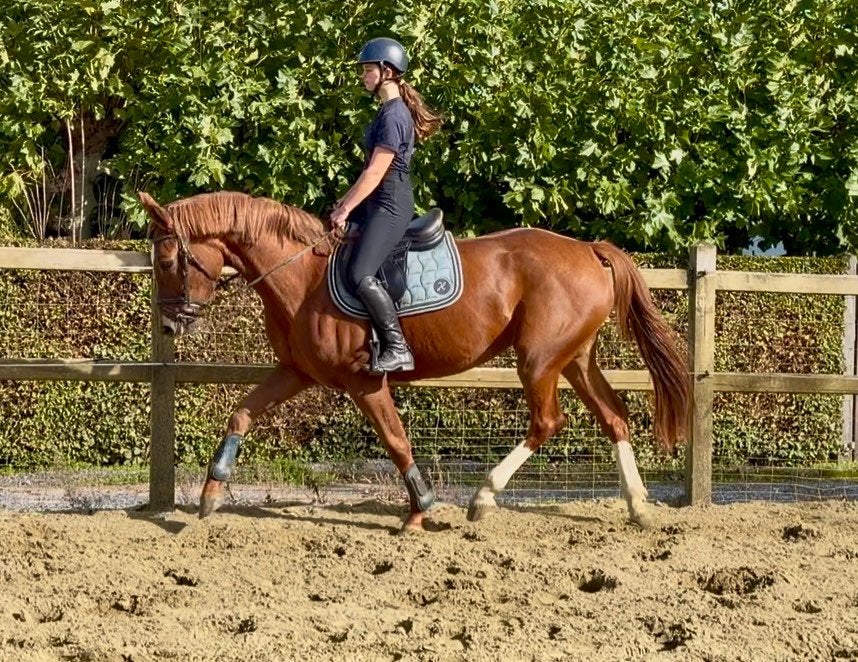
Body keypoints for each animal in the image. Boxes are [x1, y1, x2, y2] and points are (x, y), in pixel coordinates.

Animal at [138, 190, 689, 531]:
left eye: (165, 262)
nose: (169, 326)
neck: (303, 277)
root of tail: (588, 250)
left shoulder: (364, 382)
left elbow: (397, 441)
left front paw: (420, 510)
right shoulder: (296, 372)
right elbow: (242, 412)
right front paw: (211, 492)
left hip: (538, 360)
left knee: (548, 422)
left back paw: (483, 497)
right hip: (574, 358)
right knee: (614, 416)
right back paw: (639, 507)